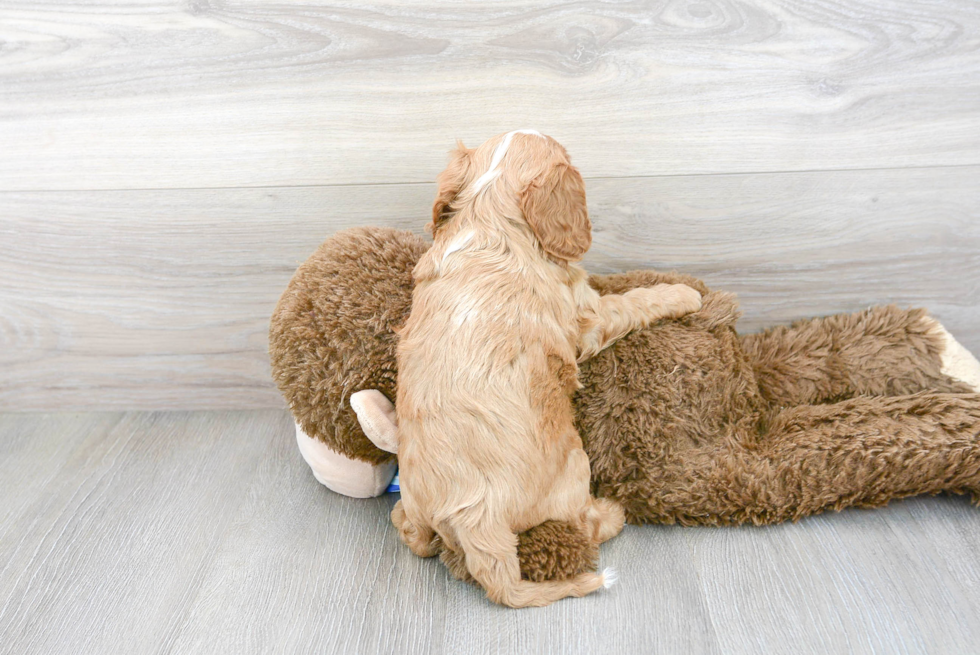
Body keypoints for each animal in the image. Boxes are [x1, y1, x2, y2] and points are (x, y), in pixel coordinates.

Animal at [392, 129, 704, 608]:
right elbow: (633, 301)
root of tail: (474, 520)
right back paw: (612, 513)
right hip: (575, 466)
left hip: (418, 502)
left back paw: (400, 519)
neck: (489, 218)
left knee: (418, 539)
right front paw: (683, 293)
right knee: (584, 524)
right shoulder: (587, 314)